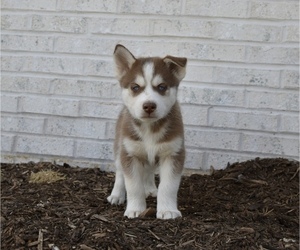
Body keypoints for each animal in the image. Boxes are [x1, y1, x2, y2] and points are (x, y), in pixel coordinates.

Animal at [107, 44, 188, 219]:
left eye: (162, 87)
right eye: (135, 87)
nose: (149, 106)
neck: (149, 129)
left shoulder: (173, 153)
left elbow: (168, 186)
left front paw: (168, 210)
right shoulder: (130, 154)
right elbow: (133, 185)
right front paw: (135, 209)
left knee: (149, 171)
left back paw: (150, 189)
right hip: (119, 148)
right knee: (120, 172)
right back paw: (116, 195)